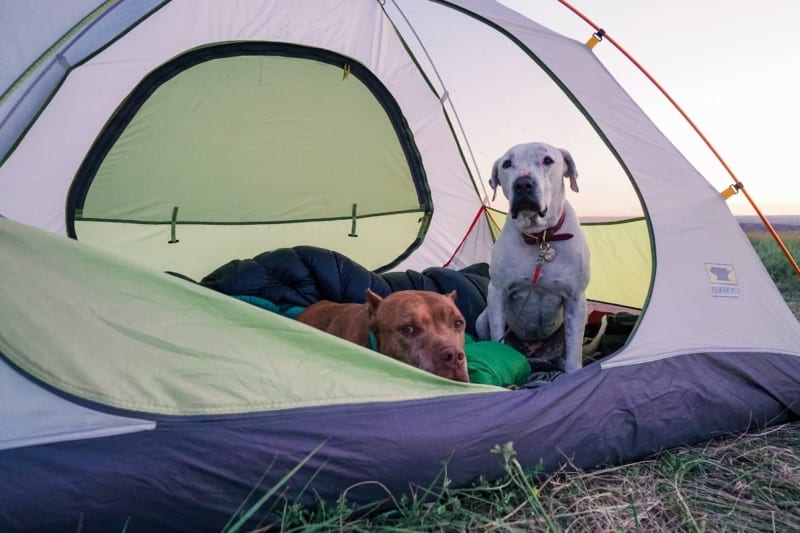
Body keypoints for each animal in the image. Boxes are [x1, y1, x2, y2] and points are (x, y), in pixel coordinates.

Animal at [478, 143, 592, 372]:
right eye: (507, 164)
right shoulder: (497, 292)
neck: (540, 237)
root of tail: (535, 354)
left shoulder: (576, 298)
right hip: (482, 318)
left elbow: (574, 352)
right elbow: (497, 335)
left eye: (547, 160)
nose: (523, 184)